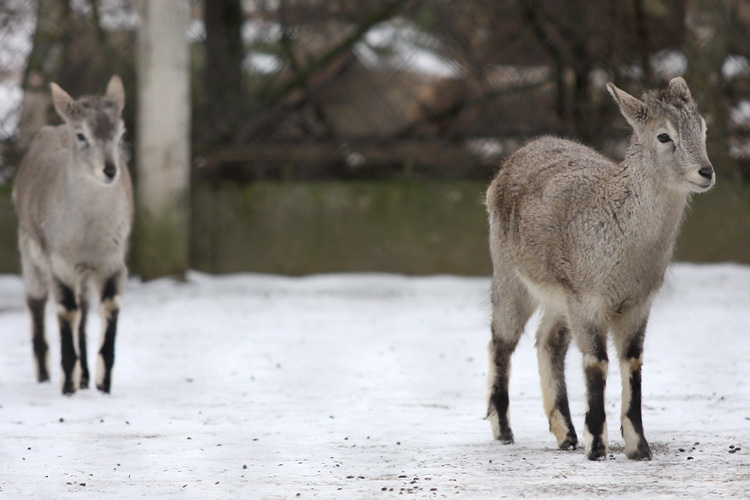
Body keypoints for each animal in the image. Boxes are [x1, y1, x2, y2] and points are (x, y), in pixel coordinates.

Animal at [13, 76, 133, 395]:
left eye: (121, 132)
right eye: (81, 135)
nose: (110, 170)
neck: (87, 236)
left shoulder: (113, 260)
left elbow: (108, 305)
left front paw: (103, 385)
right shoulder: (58, 261)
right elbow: (66, 309)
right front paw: (67, 385)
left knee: (84, 308)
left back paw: (84, 378)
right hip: (27, 248)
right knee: (37, 302)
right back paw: (45, 375)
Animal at [485, 77, 714, 460]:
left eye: (703, 128)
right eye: (663, 136)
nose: (706, 172)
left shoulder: (636, 304)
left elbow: (632, 363)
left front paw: (639, 448)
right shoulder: (587, 301)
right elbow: (597, 363)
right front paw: (597, 447)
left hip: (559, 298)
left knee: (548, 341)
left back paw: (565, 433)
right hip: (510, 275)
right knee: (502, 340)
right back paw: (504, 430)